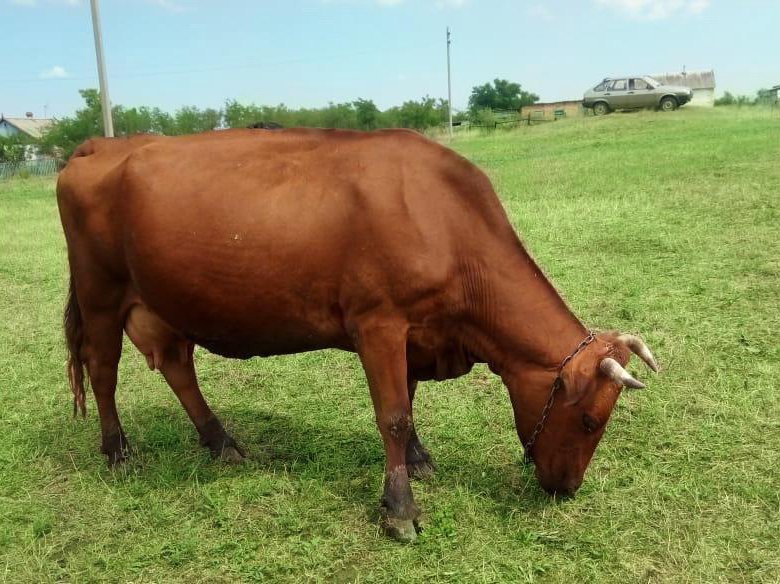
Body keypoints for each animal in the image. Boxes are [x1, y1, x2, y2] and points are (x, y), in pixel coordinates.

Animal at [59, 129, 660, 544]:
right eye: (590, 420)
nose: (567, 489)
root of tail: (100, 145)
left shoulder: (416, 335)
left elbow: (409, 403)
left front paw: (418, 459)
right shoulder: (379, 324)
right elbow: (392, 414)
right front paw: (400, 509)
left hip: (165, 302)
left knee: (179, 367)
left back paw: (221, 441)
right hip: (100, 293)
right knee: (102, 369)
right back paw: (117, 451)